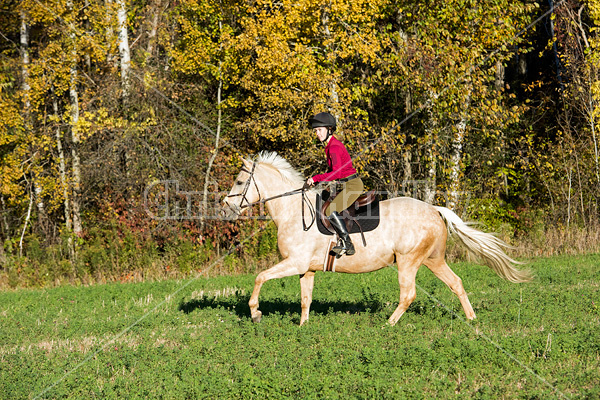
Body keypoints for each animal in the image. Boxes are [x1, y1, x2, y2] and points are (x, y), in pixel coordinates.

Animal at [223, 151, 532, 324]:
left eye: (239, 181)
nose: (226, 208)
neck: (293, 212)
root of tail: (434, 209)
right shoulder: (306, 269)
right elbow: (305, 300)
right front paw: (302, 328)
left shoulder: (295, 263)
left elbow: (259, 278)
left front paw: (255, 314)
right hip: (433, 259)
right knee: (456, 283)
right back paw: (472, 320)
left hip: (408, 261)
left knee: (408, 294)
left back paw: (388, 325)